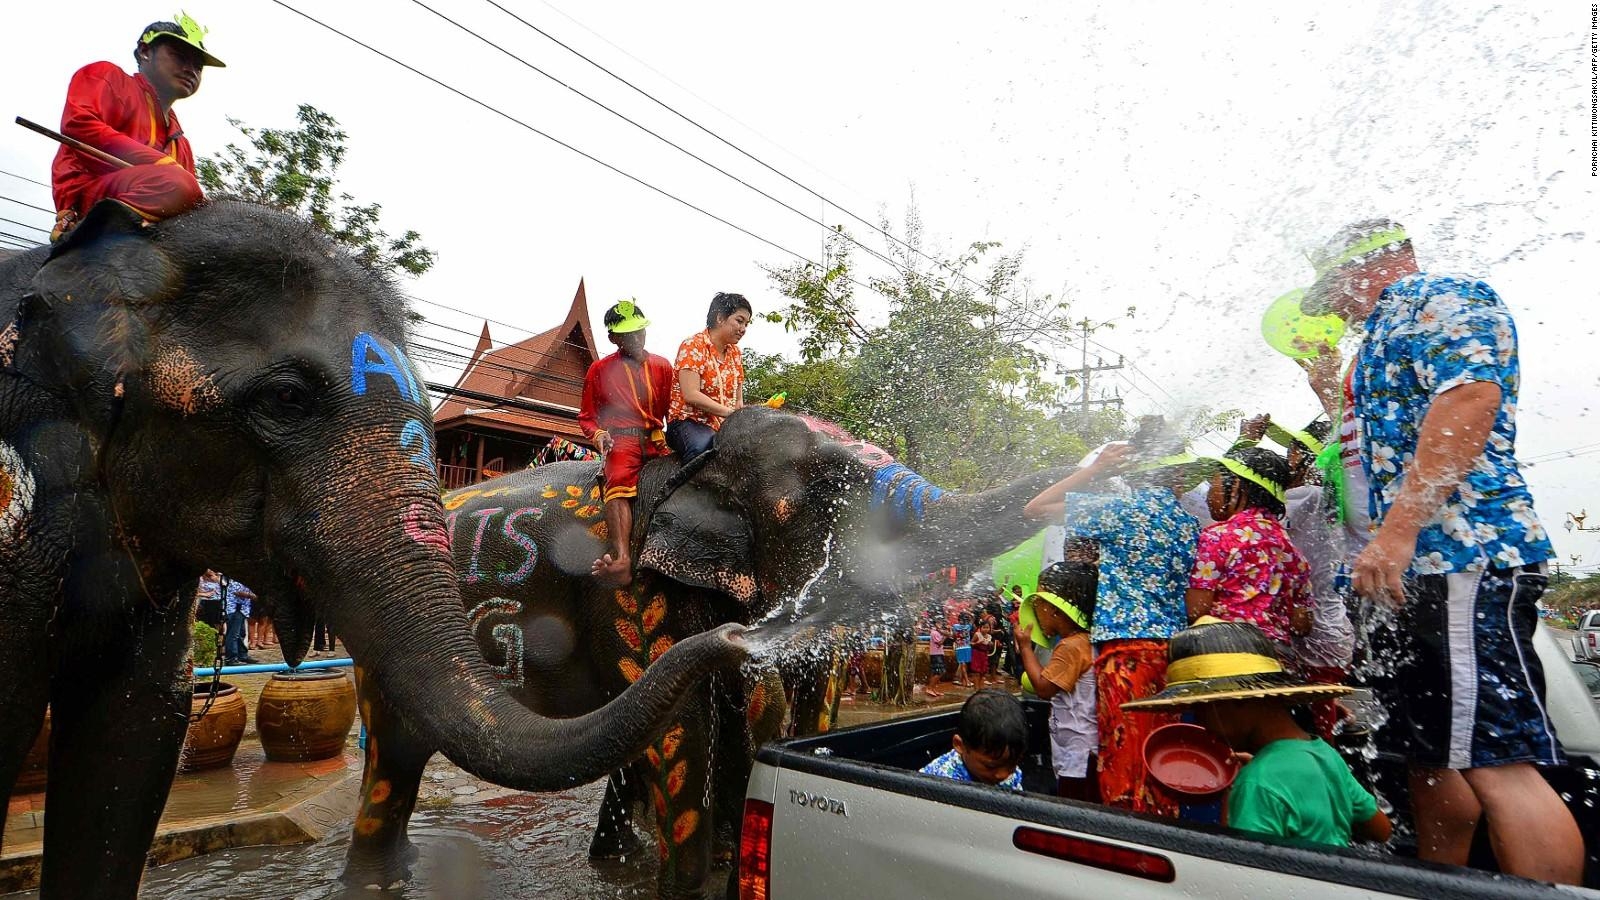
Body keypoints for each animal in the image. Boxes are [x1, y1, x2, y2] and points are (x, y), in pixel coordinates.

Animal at [425, 405, 1068, 890]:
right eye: (832, 491)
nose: (1087, 461)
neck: (693, 467)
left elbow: (755, 709)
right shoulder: (628, 588)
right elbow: (683, 727)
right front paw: (689, 886)